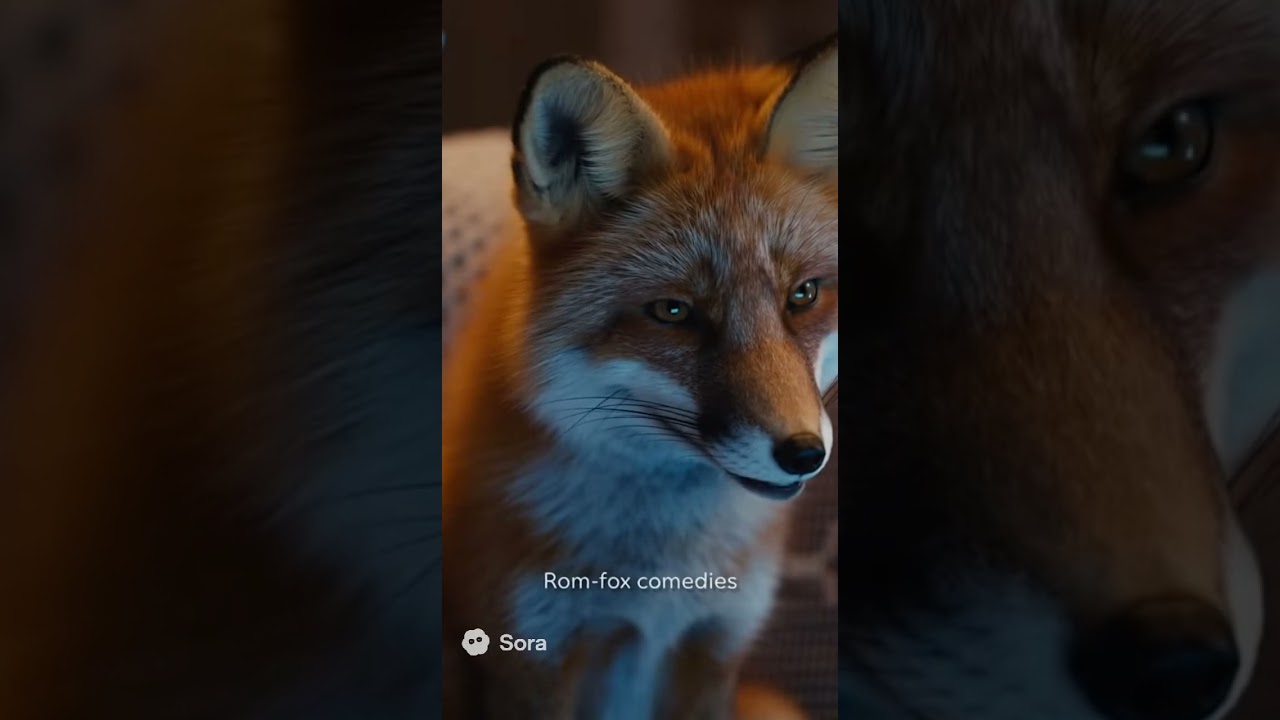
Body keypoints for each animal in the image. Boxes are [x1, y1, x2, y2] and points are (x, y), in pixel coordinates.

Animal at [441, 37, 838, 720]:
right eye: (674, 312)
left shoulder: (713, 645)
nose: (803, 453)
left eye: (803, 295)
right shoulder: (530, 655)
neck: (659, 583)